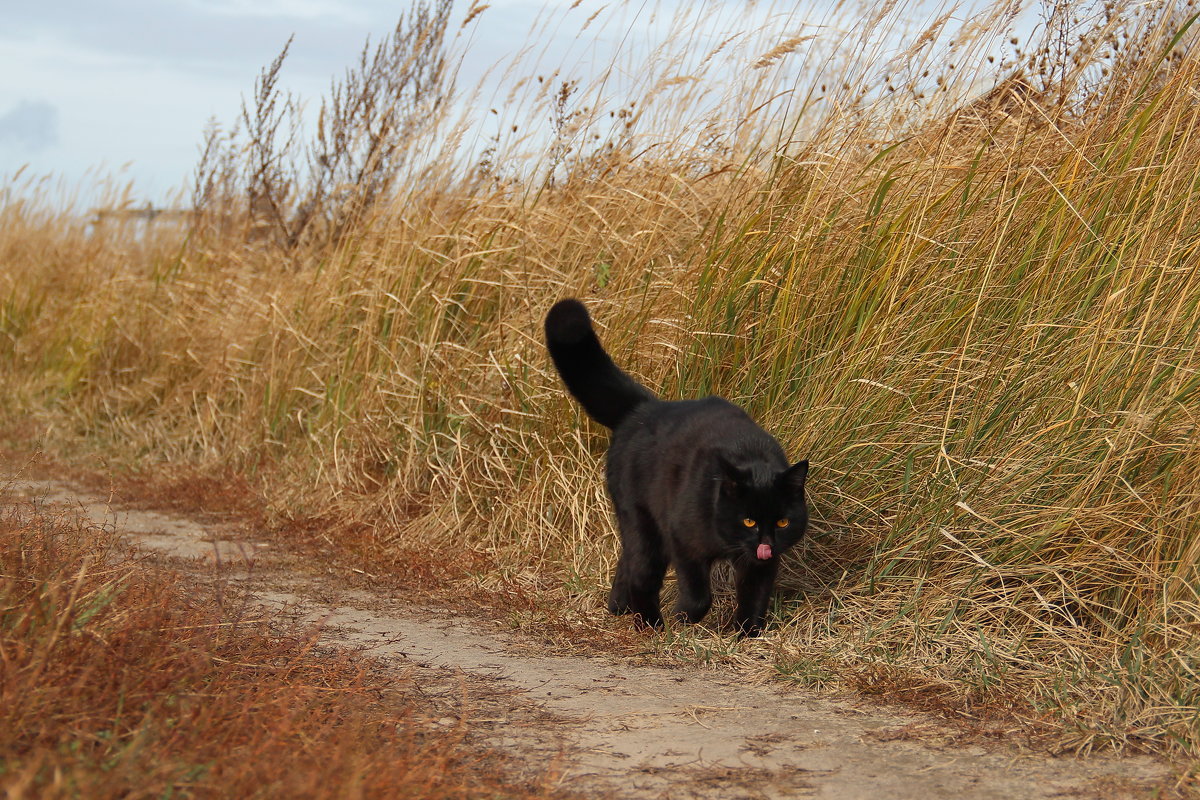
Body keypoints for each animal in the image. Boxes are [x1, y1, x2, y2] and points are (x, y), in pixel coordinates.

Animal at [549, 299, 811, 638]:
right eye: (749, 521)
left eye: (782, 522)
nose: (766, 543)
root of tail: (645, 408)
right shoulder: (682, 539)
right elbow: (698, 593)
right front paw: (684, 615)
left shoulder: (761, 564)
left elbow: (755, 594)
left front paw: (746, 632)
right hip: (643, 521)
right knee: (641, 573)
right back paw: (650, 624)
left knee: (628, 560)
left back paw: (619, 606)